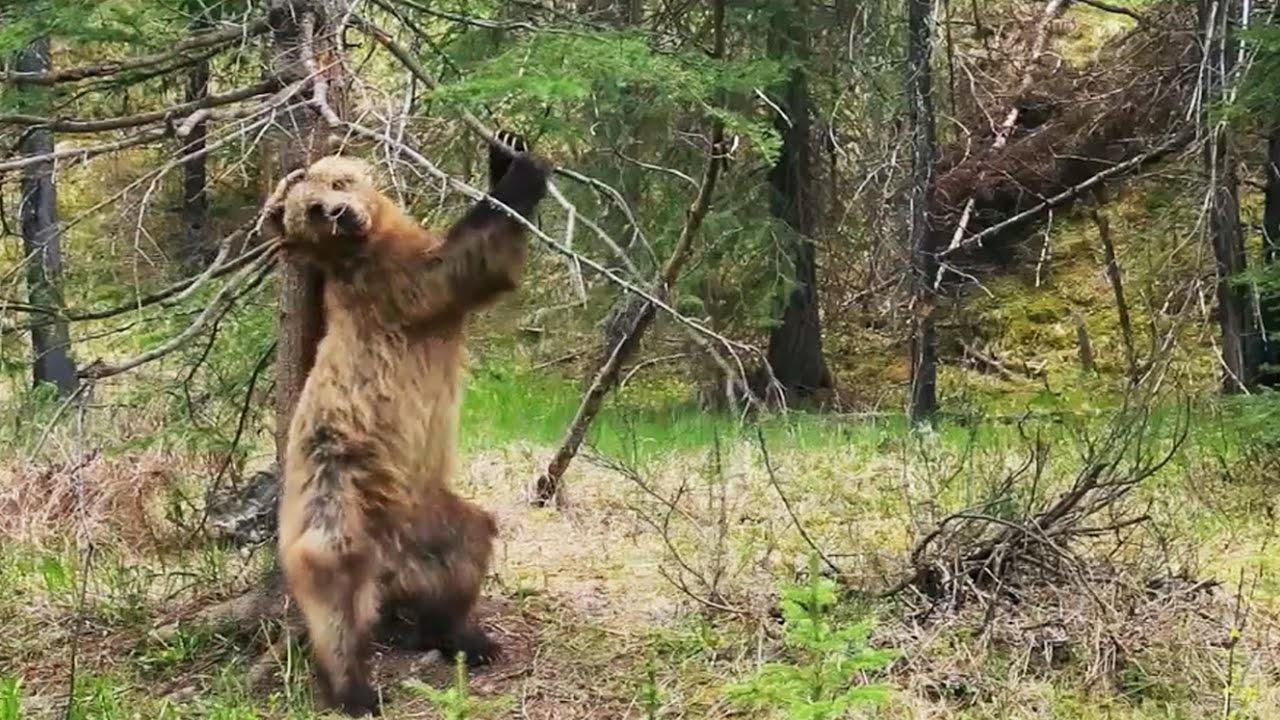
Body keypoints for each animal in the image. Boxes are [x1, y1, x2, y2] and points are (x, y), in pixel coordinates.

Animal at [264, 133, 550, 712]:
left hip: (430, 511)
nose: (341, 213)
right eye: (312, 208)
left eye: (339, 181)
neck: (365, 246)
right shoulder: (393, 284)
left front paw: (505, 150)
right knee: (336, 591)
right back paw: (354, 688)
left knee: (467, 546)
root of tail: (390, 557)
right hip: (334, 492)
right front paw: (523, 175)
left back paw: (465, 637)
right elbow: (463, 265)